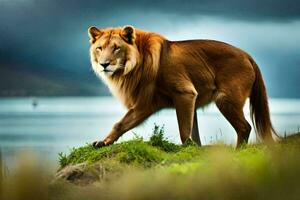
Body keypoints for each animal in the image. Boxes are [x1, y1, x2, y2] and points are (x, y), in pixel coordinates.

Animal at [88, 25, 278, 148]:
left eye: (116, 48)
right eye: (100, 48)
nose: (104, 64)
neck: (133, 66)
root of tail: (248, 55)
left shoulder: (185, 93)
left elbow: (184, 129)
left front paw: (188, 147)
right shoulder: (145, 104)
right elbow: (120, 124)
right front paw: (103, 142)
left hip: (225, 100)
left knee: (245, 127)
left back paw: (237, 152)